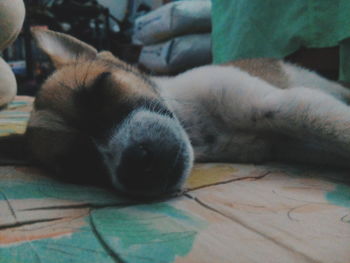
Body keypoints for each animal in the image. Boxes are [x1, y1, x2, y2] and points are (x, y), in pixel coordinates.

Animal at [7, 28, 350, 198]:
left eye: (101, 87)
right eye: (77, 165)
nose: (136, 162)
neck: (196, 126)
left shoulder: (286, 103)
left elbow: (338, 127)